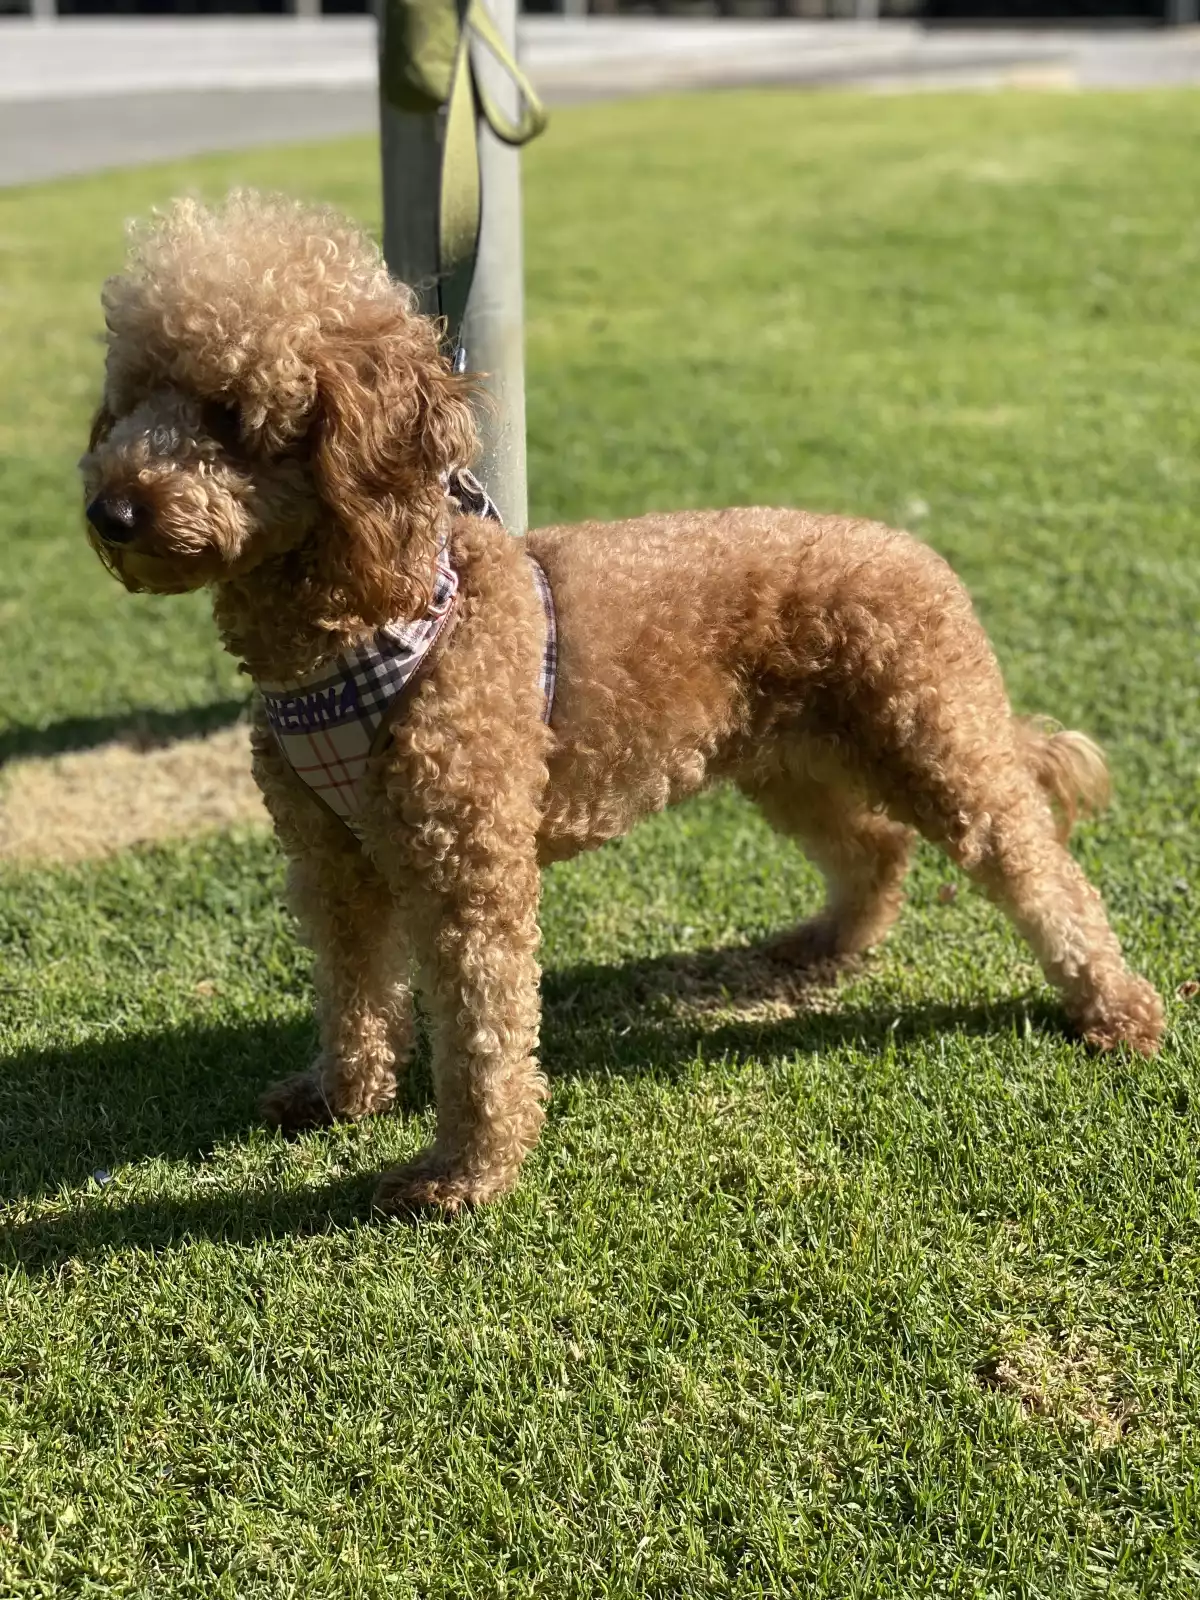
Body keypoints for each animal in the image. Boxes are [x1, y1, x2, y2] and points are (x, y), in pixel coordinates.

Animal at [80, 191, 1164, 1213]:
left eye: (229, 412)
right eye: (130, 401)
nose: (110, 510)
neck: (364, 622)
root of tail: (921, 553)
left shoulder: (465, 861)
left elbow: (481, 1028)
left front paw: (463, 1172)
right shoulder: (330, 854)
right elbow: (351, 985)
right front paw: (339, 1095)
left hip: (933, 734)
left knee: (1040, 870)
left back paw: (1114, 1005)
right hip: (791, 760)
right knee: (873, 847)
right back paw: (825, 946)